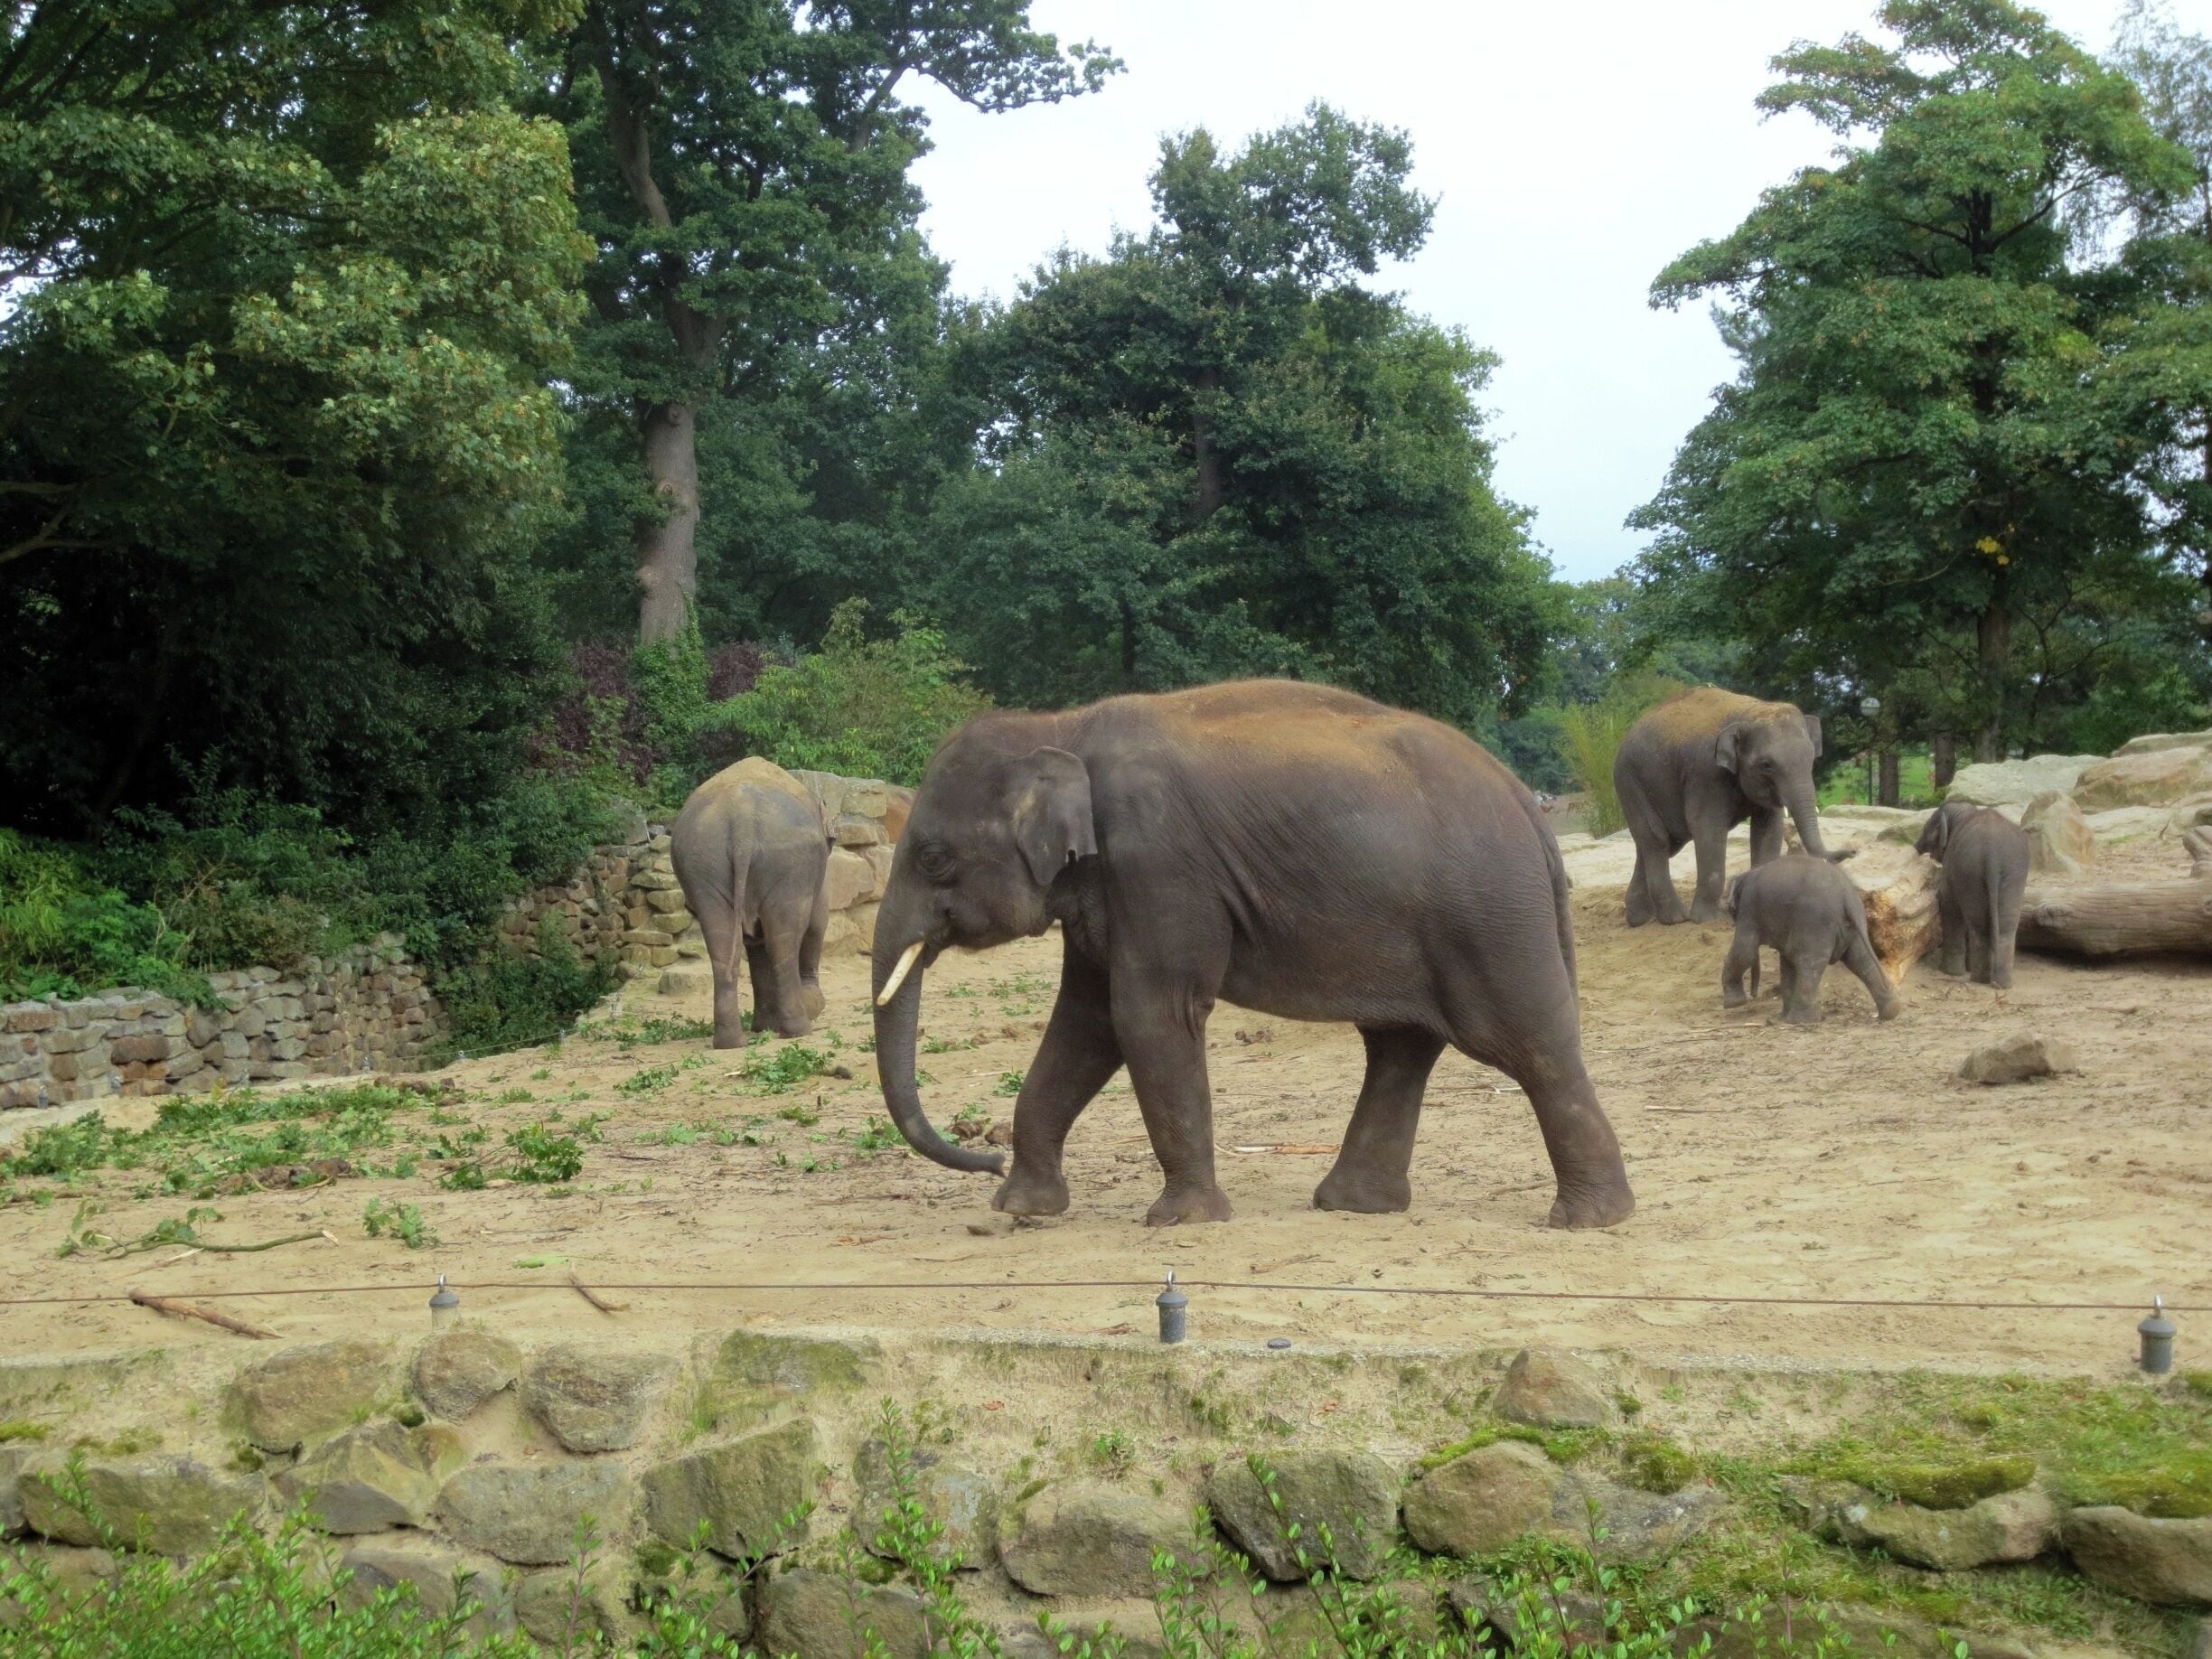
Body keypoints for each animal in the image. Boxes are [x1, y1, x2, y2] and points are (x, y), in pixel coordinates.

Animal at [670, 757, 832, 1046]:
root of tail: (741, 820)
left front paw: (764, 1027)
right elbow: (816, 922)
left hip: (703, 864)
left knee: (723, 947)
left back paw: (730, 1042)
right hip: (788, 865)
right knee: (784, 941)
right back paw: (799, 1030)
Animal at [866, 679, 1635, 1231]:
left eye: (932, 858)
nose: (987, 1158)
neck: (1059, 728)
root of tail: (1527, 804)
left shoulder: (1158, 862)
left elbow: (1147, 1015)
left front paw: (1180, 1222)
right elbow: (1085, 1026)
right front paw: (1020, 1211)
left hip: (1488, 917)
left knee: (1528, 1043)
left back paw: (1589, 1220)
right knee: (1401, 1046)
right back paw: (1354, 1205)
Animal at [1614, 687, 1846, 927]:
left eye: (1811, 759)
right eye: (1766, 765)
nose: (1852, 851)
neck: (1750, 712)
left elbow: (1768, 829)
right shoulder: (1705, 774)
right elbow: (1708, 828)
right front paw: (1706, 920)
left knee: (1660, 843)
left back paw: (1640, 919)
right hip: (1630, 783)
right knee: (1657, 839)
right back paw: (1676, 918)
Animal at [1722, 853, 1897, 1025]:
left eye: (1732, 911)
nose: (1753, 995)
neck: (1746, 875)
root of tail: (1847, 897)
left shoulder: (1749, 907)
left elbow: (1744, 951)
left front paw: (1734, 1003)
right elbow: (1786, 963)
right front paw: (1779, 1018)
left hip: (1815, 923)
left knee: (1809, 963)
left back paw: (1800, 1021)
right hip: (1849, 928)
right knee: (1861, 960)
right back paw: (1890, 1011)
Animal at [1915, 800, 2030, 988]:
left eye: (1926, 829)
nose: (1915, 848)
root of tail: (1992, 851)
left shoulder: (1952, 867)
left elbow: (1947, 903)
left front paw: (1950, 972)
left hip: (1970, 870)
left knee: (1978, 926)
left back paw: (1979, 979)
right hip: (2013, 874)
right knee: (2005, 927)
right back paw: (2001, 983)